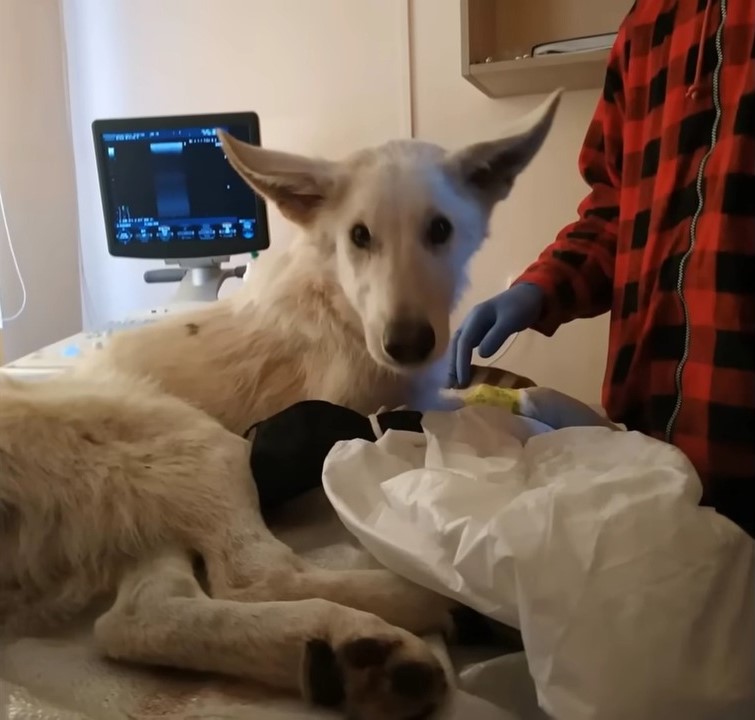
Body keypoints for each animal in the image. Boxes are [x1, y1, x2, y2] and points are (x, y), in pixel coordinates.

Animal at [0, 90, 560, 720]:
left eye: (440, 229)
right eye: (359, 236)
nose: (408, 344)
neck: (339, 300)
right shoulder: (379, 407)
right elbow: (477, 411)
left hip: (137, 506)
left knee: (138, 618)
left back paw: (353, 658)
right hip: (193, 441)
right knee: (257, 576)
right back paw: (425, 608)